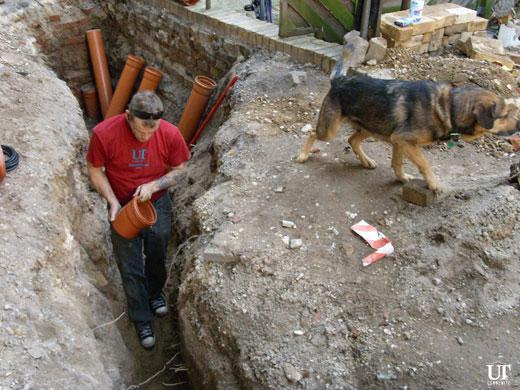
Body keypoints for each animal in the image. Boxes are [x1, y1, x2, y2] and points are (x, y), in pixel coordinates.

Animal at [296, 72, 520, 193]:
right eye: (505, 114)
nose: (518, 126)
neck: (450, 107)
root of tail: (339, 79)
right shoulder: (403, 140)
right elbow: (424, 164)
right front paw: (433, 183)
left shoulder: (398, 140)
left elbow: (397, 163)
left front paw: (402, 178)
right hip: (330, 129)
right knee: (313, 133)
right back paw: (303, 155)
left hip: (374, 126)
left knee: (352, 140)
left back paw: (366, 161)